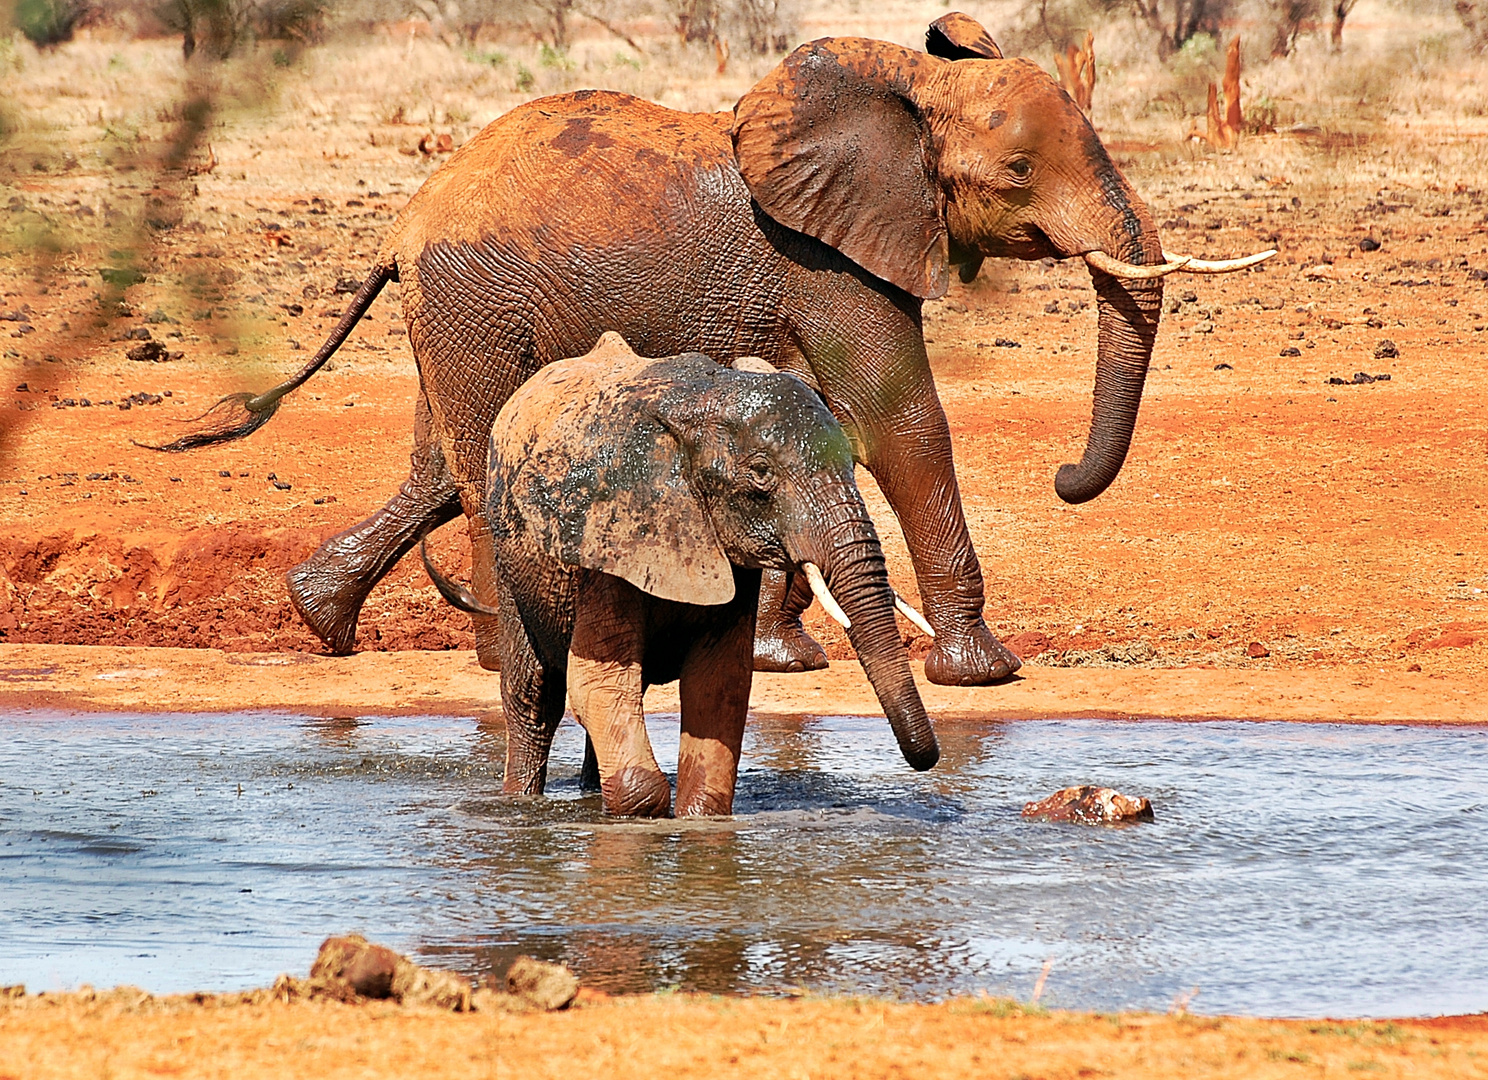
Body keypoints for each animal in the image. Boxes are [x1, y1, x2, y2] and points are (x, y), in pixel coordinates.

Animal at [159, 14, 1267, 684]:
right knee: (474, 462)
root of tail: (400, 225)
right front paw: (979, 669)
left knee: (439, 464)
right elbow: (898, 419)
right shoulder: (826, 256)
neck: (904, 83)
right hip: (476, 301)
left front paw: (779, 655)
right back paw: (498, 655)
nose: (1065, 477)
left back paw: (322, 620)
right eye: (1019, 172)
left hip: (460, 311)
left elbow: (820, 422)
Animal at [431, 334, 934, 815]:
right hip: (511, 558)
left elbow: (718, 686)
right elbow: (597, 682)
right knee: (535, 696)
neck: (703, 400)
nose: (927, 760)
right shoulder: (608, 535)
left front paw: (698, 821)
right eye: (760, 473)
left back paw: (591, 796)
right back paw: (521, 802)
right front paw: (640, 815)